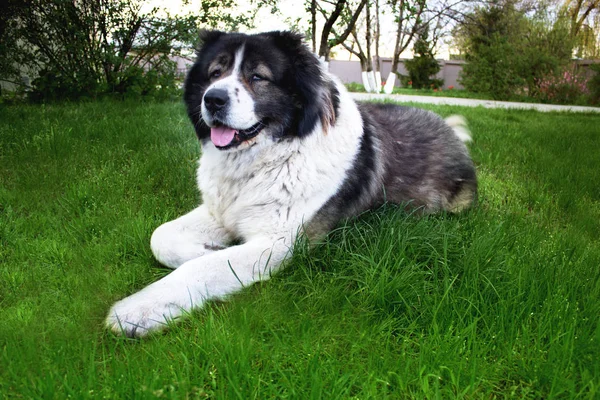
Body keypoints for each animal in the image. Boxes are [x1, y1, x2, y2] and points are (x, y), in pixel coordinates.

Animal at [105, 30, 476, 338]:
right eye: (214, 73)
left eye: (257, 77)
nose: (212, 99)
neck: (269, 155)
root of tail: (452, 132)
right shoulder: (221, 212)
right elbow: (161, 237)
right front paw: (207, 248)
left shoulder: (278, 244)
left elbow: (202, 268)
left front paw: (139, 310)